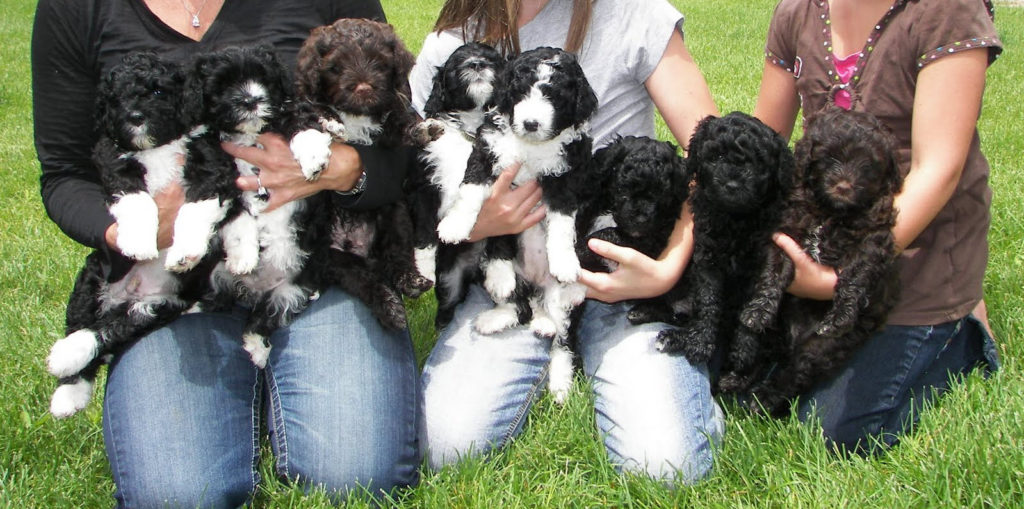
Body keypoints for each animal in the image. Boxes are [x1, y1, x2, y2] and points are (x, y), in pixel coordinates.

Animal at [47, 52, 212, 415]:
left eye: (158, 91)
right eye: (115, 98)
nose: (134, 117)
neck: (158, 147)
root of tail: (126, 295)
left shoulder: (209, 162)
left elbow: (197, 209)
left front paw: (186, 252)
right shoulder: (112, 157)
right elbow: (136, 199)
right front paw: (137, 241)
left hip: (156, 306)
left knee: (110, 330)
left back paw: (70, 361)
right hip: (92, 278)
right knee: (83, 324)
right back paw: (68, 383)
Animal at [405, 41, 505, 327]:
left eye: (491, 59)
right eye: (457, 63)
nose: (477, 63)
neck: (470, 127)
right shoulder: (423, 187)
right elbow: (425, 234)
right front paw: (423, 271)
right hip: (450, 277)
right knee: (448, 302)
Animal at [438, 46, 598, 401]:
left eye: (554, 95)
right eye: (521, 92)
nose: (530, 123)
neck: (531, 148)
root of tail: (537, 289)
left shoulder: (567, 179)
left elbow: (562, 225)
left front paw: (564, 261)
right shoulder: (486, 156)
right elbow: (472, 196)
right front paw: (455, 225)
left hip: (563, 306)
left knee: (563, 339)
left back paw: (560, 384)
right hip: (492, 271)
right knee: (518, 305)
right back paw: (496, 314)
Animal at [741, 108, 901, 415]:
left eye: (868, 165)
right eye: (829, 158)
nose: (844, 187)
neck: (831, 212)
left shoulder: (873, 240)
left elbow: (857, 274)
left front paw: (841, 316)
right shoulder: (784, 233)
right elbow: (773, 272)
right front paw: (757, 311)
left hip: (822, 347)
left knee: (796, 371)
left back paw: (763, 399)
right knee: (762, 349)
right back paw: (736, 378)